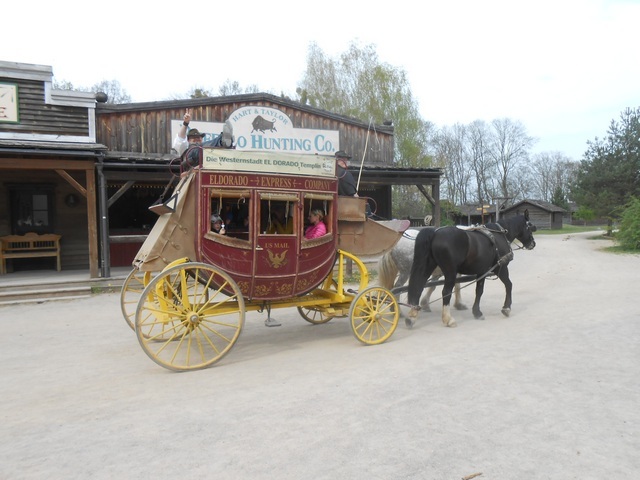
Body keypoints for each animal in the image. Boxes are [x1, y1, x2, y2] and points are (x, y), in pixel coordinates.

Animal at [408, 212, 536, 328]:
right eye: (529, 226)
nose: (533, 244)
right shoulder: (501, 267)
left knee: (418, 287)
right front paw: (506, 308)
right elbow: (508, 285)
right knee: (445, 292)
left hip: (428, 266)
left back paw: (412, 316)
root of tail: (435, 233)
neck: (498, 235)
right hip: (450, 272)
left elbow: (478, 291)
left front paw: (476, 312)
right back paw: (448, 319)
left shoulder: (481, 271)